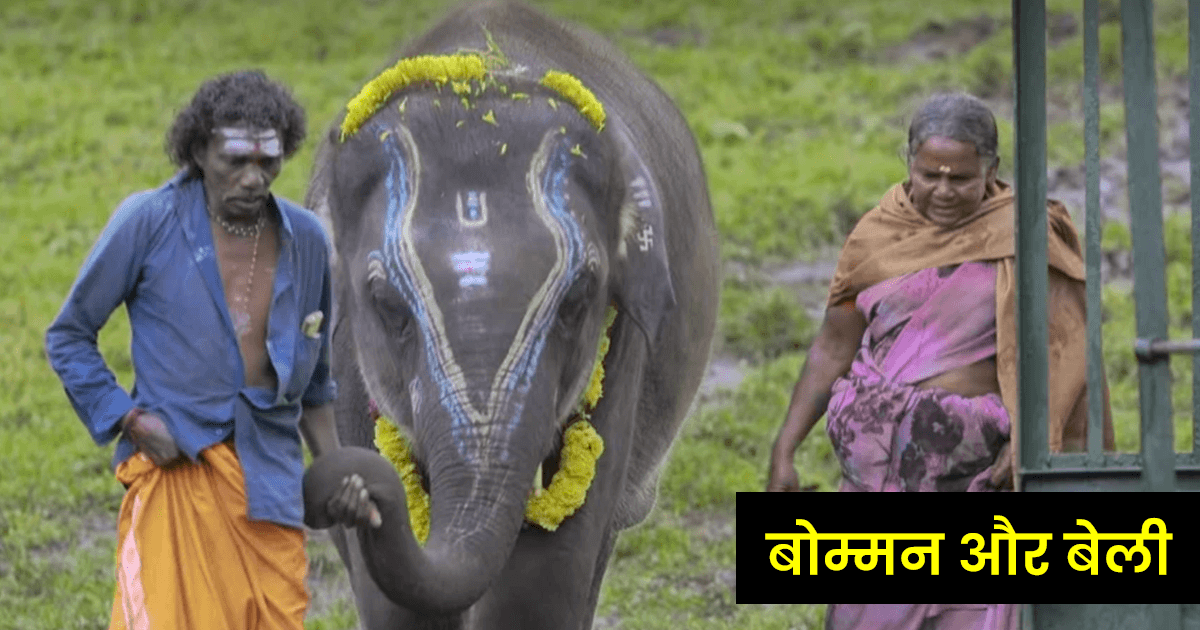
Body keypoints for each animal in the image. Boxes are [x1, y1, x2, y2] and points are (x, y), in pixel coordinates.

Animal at [301, 2, 720, 628]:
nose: (354, 492)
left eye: (577, 299)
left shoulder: (621, 343)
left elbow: (547, 576)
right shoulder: (347, 356)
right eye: (387, 305)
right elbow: (396, 605)